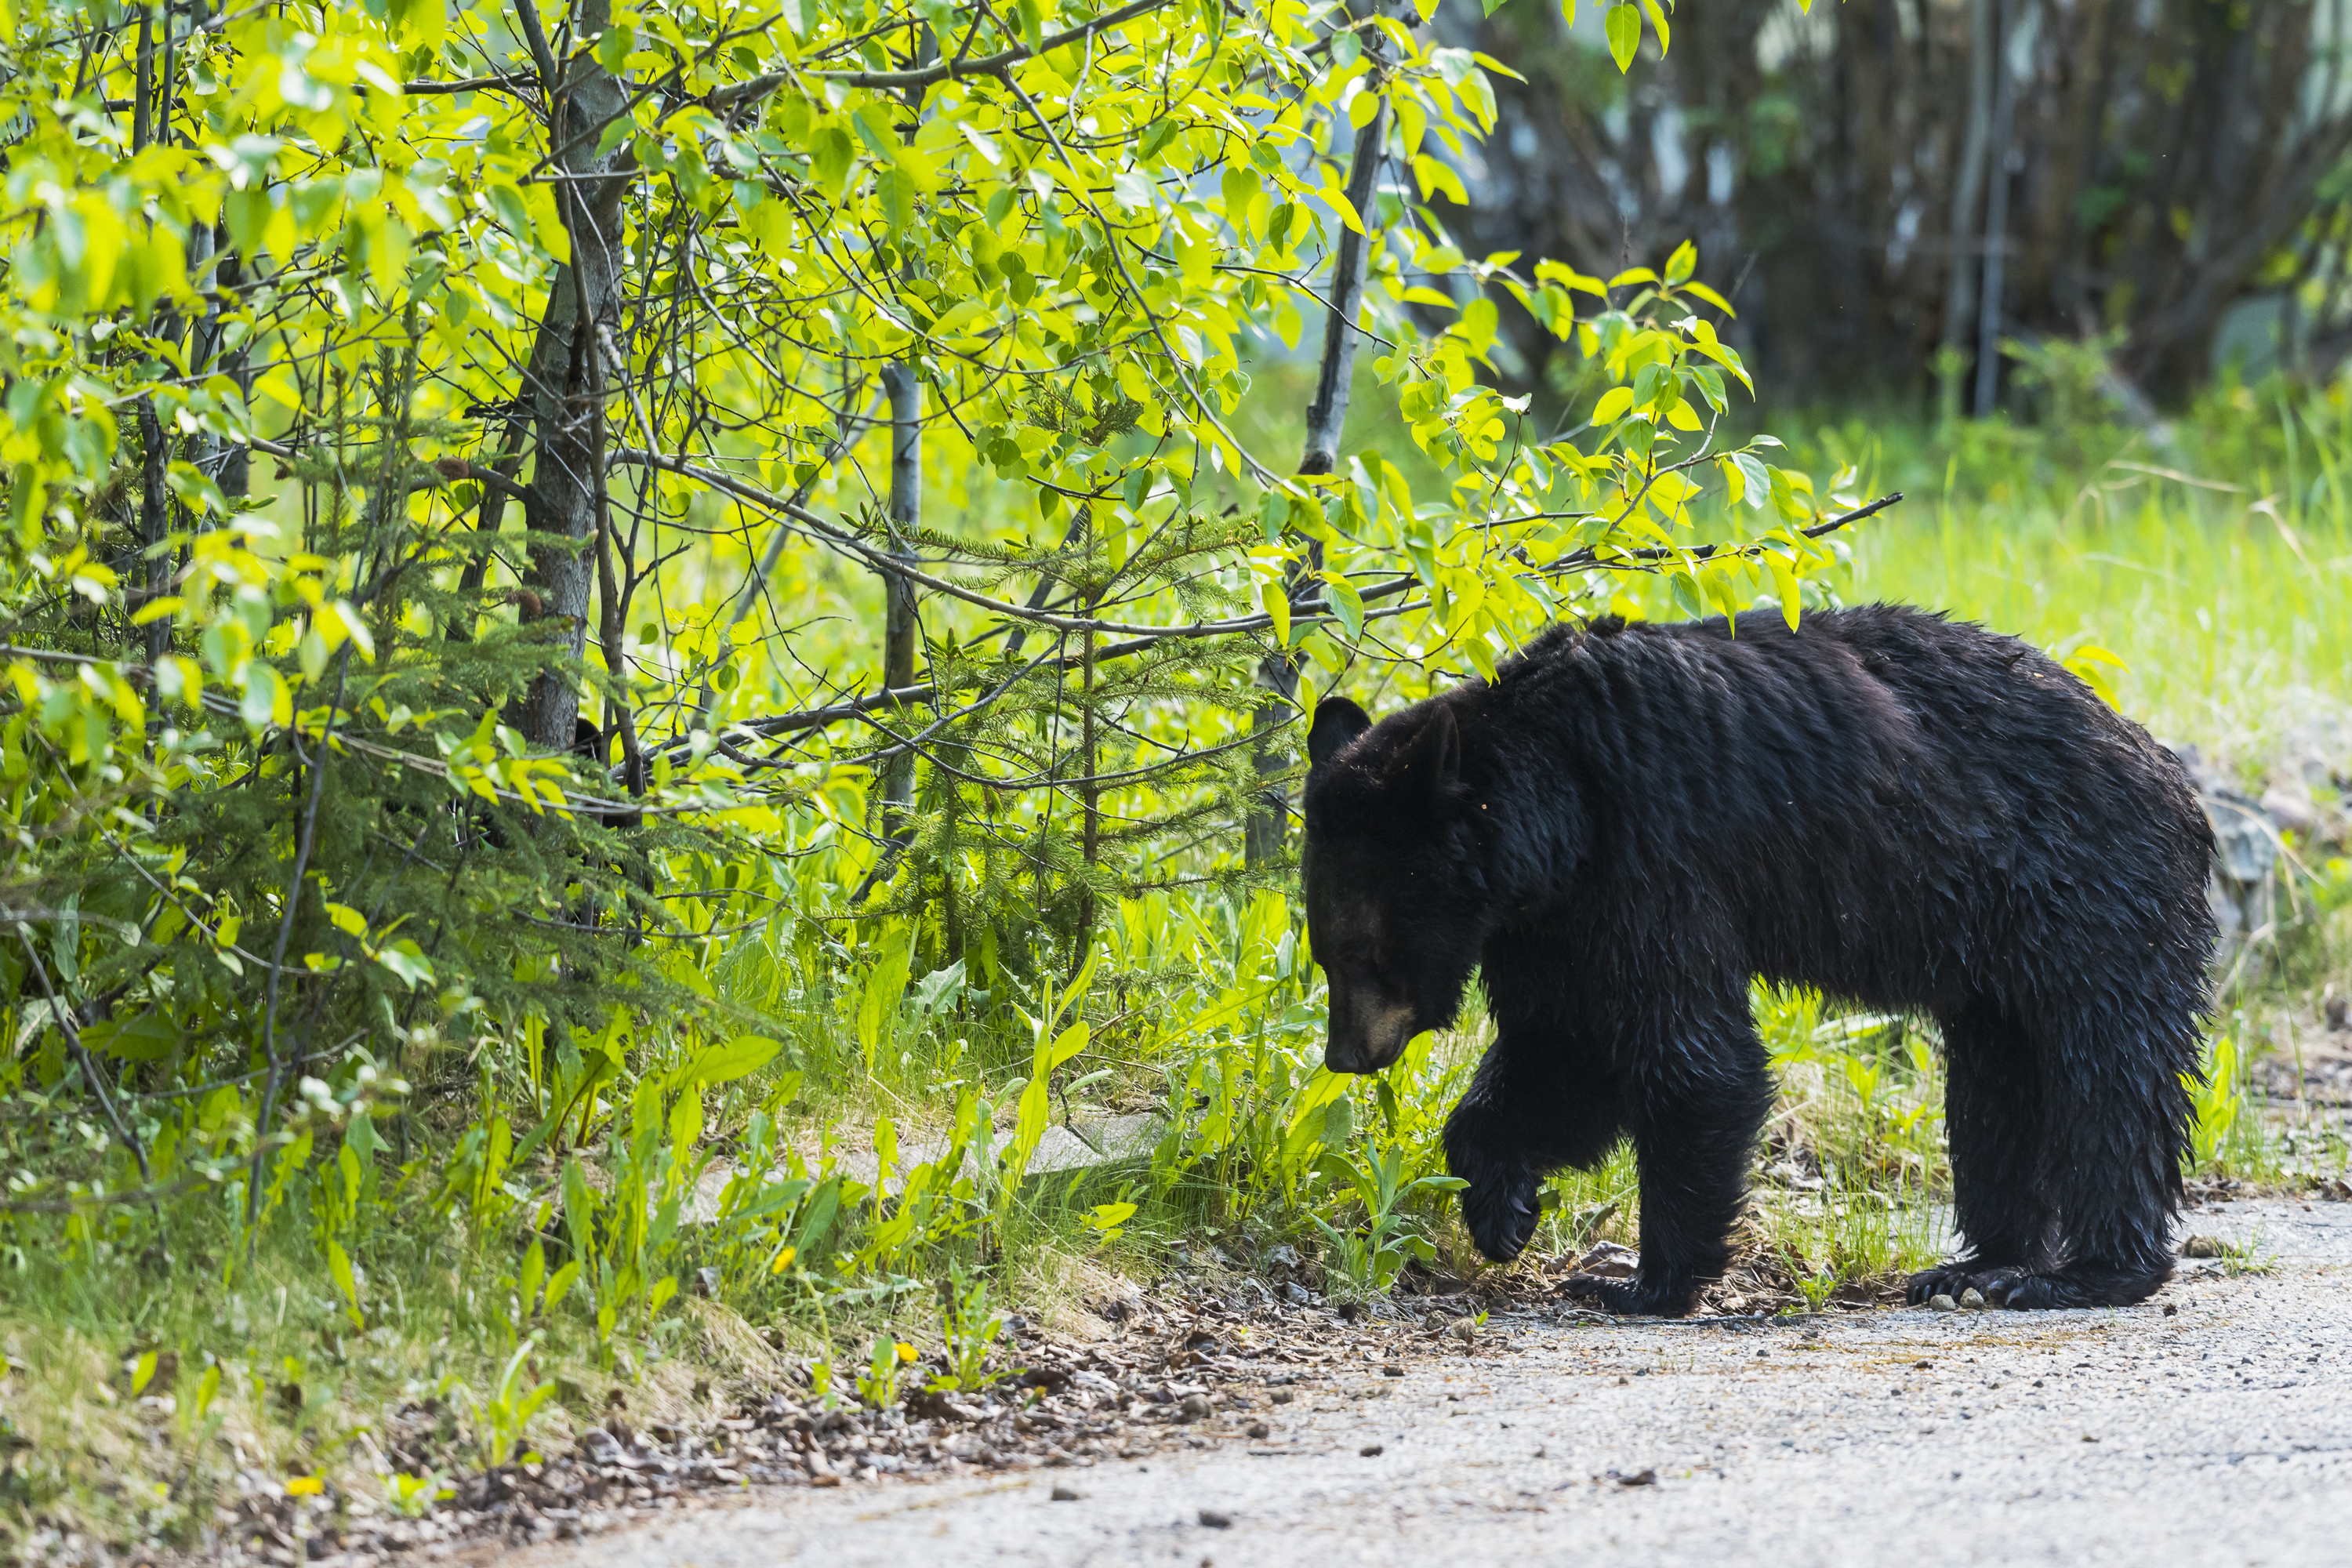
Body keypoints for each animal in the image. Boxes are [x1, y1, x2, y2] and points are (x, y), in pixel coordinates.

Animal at [1301, 604, 2216, 1316]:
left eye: (1358, 950)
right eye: (1322, 949)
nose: (1346, 1056)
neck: (1559, 802)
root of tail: (2172, 774)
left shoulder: (1655, 859)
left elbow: (1694, 1057)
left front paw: (1642, 1283)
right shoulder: (1555, 921)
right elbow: (1562, 1051)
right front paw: (1502, 1207)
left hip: (2094, 896)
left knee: (2110, 1074)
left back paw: (2087, 1272)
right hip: (2005, 963)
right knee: (1996, 1087)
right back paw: (1982, 1264)